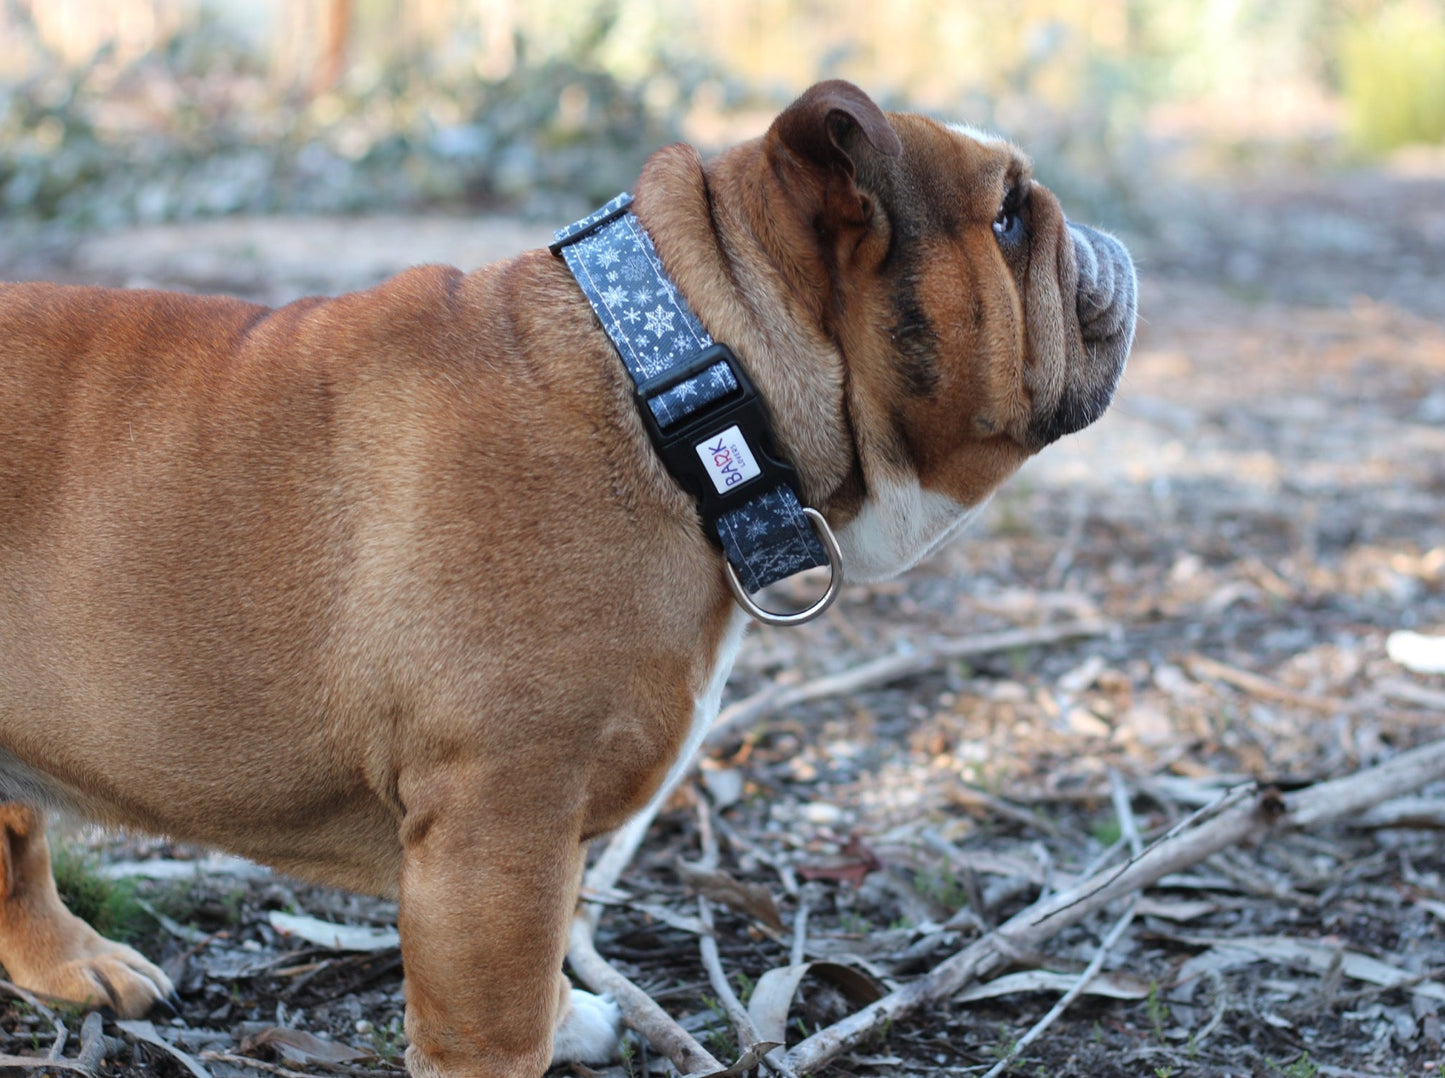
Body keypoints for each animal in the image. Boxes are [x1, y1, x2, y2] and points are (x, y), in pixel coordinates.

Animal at [0, 83, 1127, 1075]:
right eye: (1009, 217)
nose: (1107, 242)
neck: (685, 387)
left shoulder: (539, 838)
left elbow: (548, 942)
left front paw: (568, 1016)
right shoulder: (498, 829)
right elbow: (495, 1016)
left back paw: (76, 964)